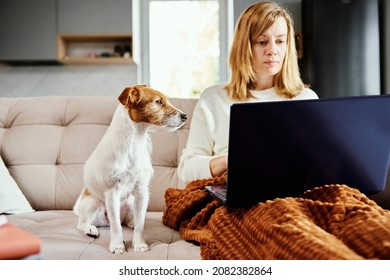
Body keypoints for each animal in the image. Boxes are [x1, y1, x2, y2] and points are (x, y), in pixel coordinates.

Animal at [75, 84, 189, 253]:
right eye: (158, 102)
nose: (185, 116)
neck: (135, 141)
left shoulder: (142, 191)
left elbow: (140, 223)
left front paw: (140, 244)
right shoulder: (112, 192)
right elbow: (116, 226)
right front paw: (117, 246)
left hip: (130, 202)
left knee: (128, 220)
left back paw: (132, 222)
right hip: (93, 205)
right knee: (84, 223)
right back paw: (90, 229)